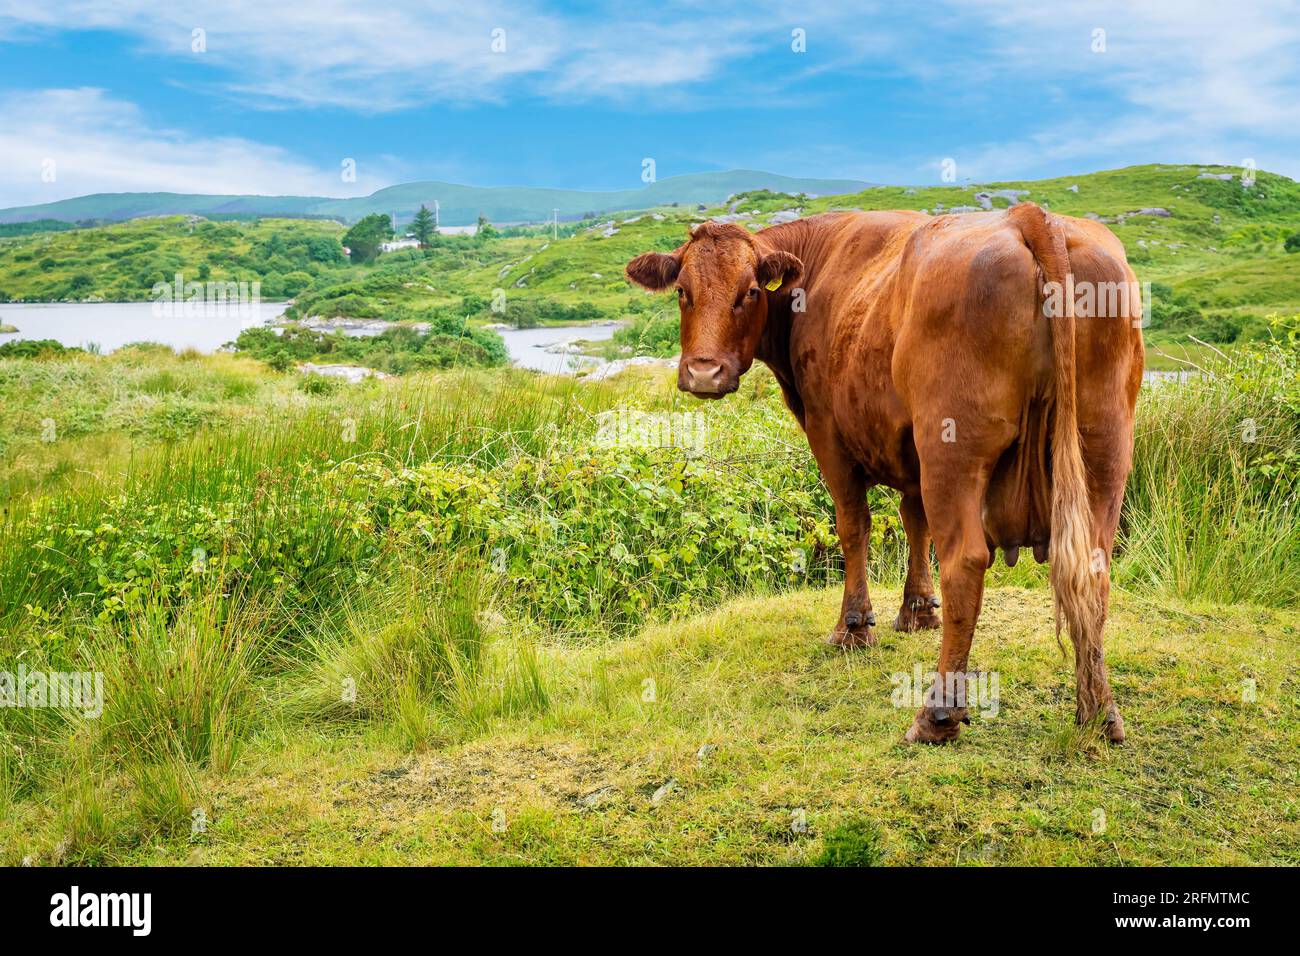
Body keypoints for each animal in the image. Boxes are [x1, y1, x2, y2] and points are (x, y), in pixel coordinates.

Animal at [625, 204, 1143, 744]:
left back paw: (938, 714)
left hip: (952, 447)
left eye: (749, 291)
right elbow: (915, 521)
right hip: (1103, 447)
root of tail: (1032, 217)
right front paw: (917, 610)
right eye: (682, 291)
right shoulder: (910, 451)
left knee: (965, 562)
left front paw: (854, 627)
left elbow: (854, 526)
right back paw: (1098, 712)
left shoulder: (828, 433)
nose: (704, 373)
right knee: (1091, 568)